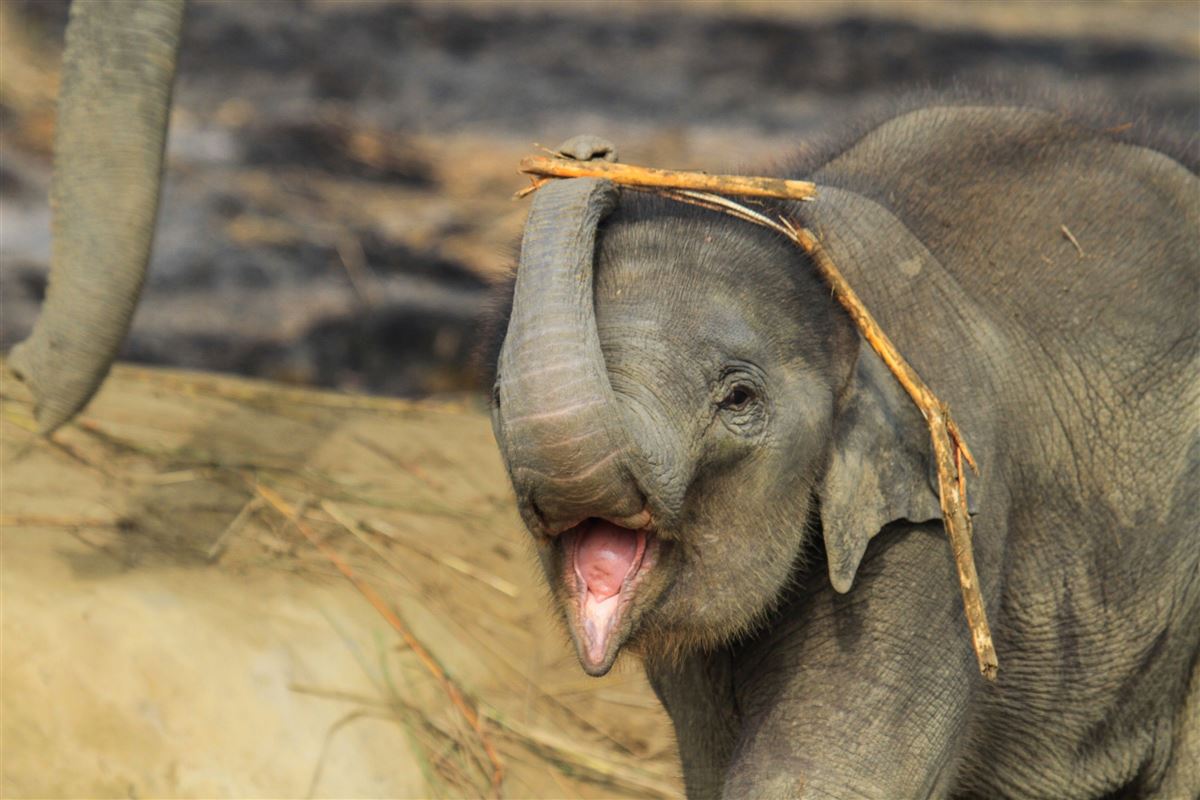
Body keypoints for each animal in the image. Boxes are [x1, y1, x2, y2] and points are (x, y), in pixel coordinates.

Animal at [487, 108, 1199, 797]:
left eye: (738, 398)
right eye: (497, 394)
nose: (589, 153)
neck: (820, 258)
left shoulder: (946, 522)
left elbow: (826, 777)